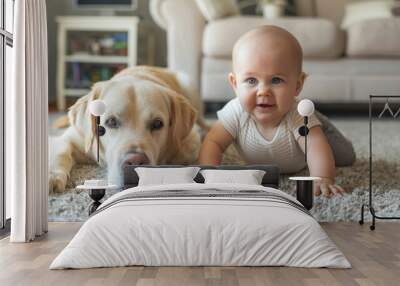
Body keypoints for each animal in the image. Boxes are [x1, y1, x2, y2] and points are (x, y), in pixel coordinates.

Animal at [49, 66, 206, 193]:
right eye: (111, 121)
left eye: (157, 124)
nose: (135, 162)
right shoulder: (72, 138)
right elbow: (61, 151)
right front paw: (52, 176)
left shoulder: (190, 144)